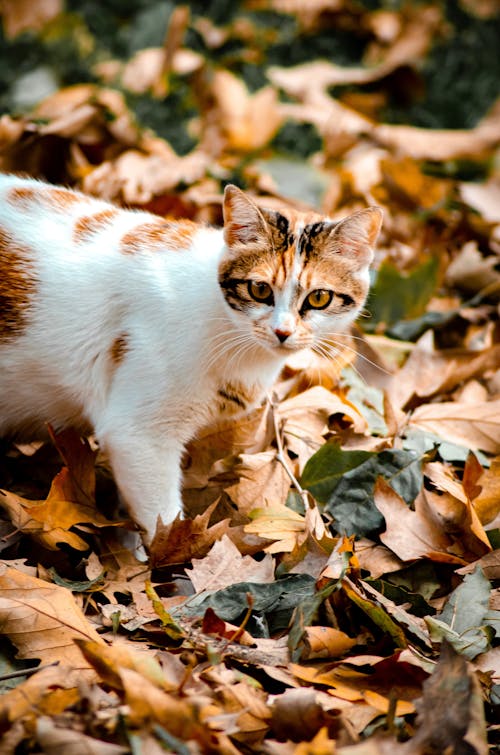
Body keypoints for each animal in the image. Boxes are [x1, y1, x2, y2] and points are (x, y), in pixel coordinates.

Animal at [0, 176, 380, 544]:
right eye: (259, 290)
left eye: (319, 298)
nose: (282, 331)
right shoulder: (137, 436)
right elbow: (163, 522)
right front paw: (172, 557)